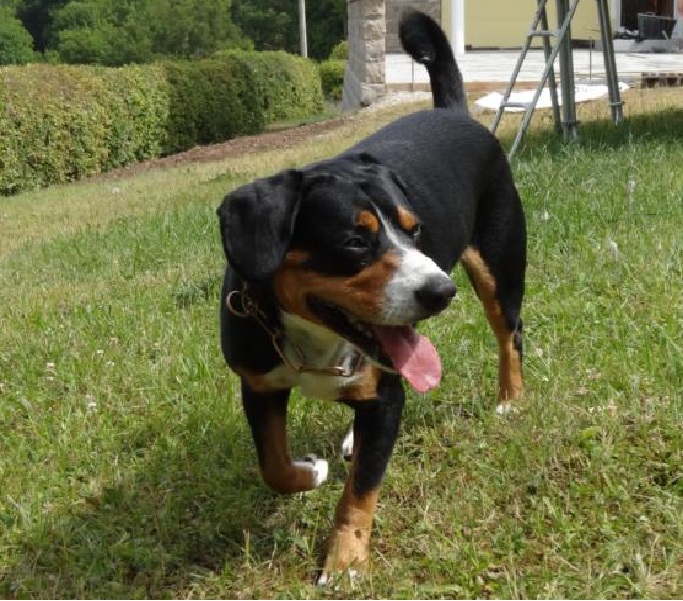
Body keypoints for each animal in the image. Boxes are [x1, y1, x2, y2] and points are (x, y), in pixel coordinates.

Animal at [216, 10, 526, 583]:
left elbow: (361, 489)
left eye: (414, 229)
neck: (313, 342)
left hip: (500, 267)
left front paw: (344, 559)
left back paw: (510, 400)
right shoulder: (259, 384)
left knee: (510, 335)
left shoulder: (387, 395)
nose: (441, 291)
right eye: (355, 241)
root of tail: (455, 114)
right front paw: (309, 471)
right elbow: (273, 466)